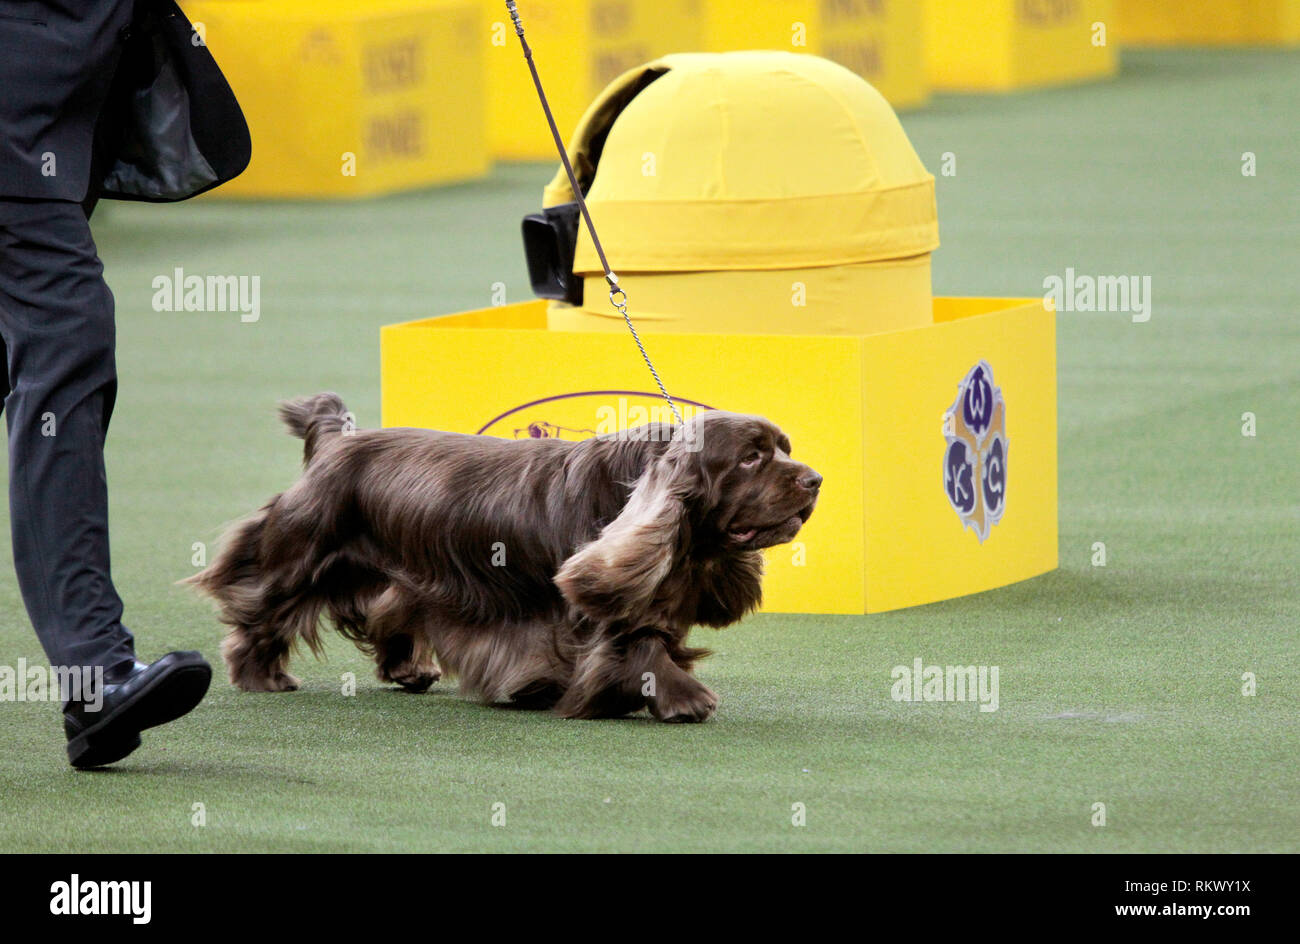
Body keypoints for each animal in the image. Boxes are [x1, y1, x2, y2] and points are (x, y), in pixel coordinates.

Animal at [188, 392, 816, 722]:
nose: (815, 480)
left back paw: (410, 671)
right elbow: (635, 643)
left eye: (784, 448)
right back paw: (261, 676)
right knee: (262, 608)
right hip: (306, 553)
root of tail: (335, 441)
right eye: (751, 458)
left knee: (389, 612)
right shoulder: (590, 604)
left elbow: (650, 636)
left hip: (398, 571)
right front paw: (684, 699)